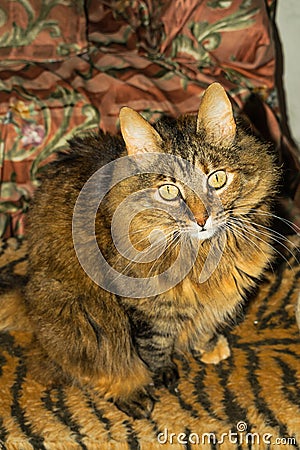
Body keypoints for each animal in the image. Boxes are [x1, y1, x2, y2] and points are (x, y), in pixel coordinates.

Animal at [24, 83, 280, 418]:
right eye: (169, 191)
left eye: (217, 179)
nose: (202, 219)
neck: (206, 254)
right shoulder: (146, 308)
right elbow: (155, 346)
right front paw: (162, 375)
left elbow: (205, 324)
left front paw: (209, 345)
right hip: (76, 312)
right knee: (93, 367)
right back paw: (133, 394)